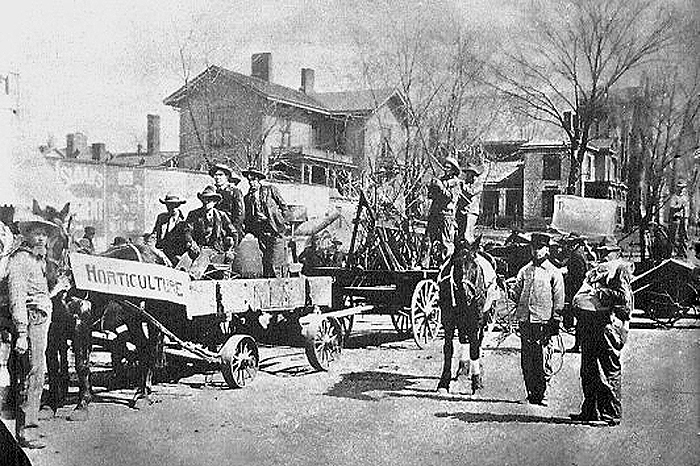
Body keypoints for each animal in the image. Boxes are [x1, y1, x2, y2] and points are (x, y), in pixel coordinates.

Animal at [434, 238, 500, 396]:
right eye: (456, 263)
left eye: (475, 265)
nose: (467, 295)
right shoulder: (448, 319)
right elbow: (448, 349)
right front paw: (443, 382)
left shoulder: (476, 320)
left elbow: (474, 349)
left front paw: (476, 382)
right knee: (464, 339)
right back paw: (463, 367)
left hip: (484, 317)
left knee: (478, 340)